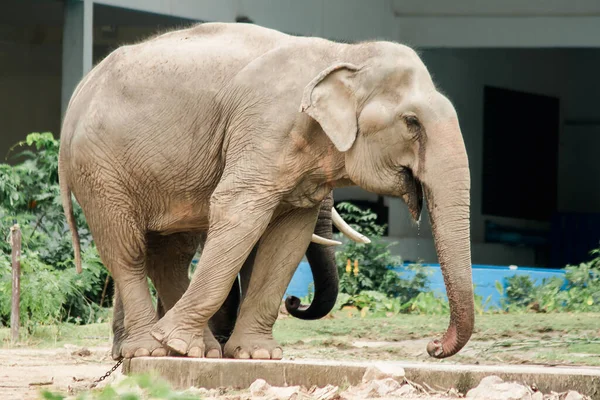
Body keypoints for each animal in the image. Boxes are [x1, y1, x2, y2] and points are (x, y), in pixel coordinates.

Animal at [59, 21, 474, 360]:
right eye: (411, 122)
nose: (433, 346)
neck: (345, 53)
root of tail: (78, 95)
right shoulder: (266, 126)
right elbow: (237, 213)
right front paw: (180, 343)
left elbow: (288, 237)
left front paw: (256, 355)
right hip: (100, 169)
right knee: (126, 250)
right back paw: (154, 349)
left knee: (169, 252)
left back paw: (192, 350)